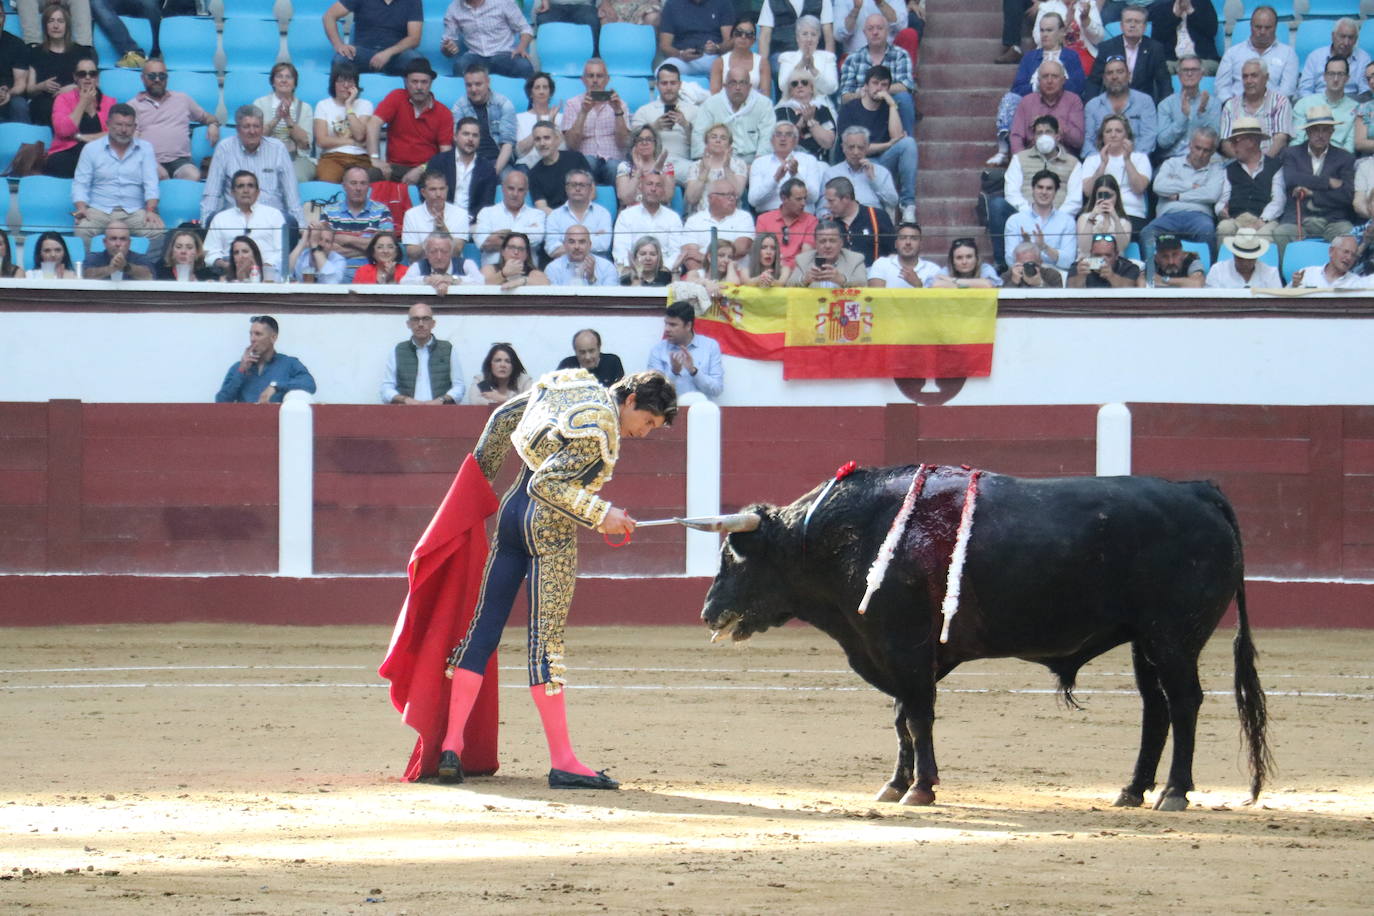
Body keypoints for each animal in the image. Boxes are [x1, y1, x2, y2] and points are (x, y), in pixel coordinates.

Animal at [703, 466, 1269, 807]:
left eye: (735, 556)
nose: (709, 612)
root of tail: (1197, 489)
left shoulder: (905, 648)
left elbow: (916, 717)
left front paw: (921, 788)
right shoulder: (897, 653)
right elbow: (902, 719)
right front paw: (896, 784)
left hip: (1172, 636)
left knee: (1185, 701)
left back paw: (1174, 792)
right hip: (1142, 640)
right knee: (1156, 707)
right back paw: (1131, 791)